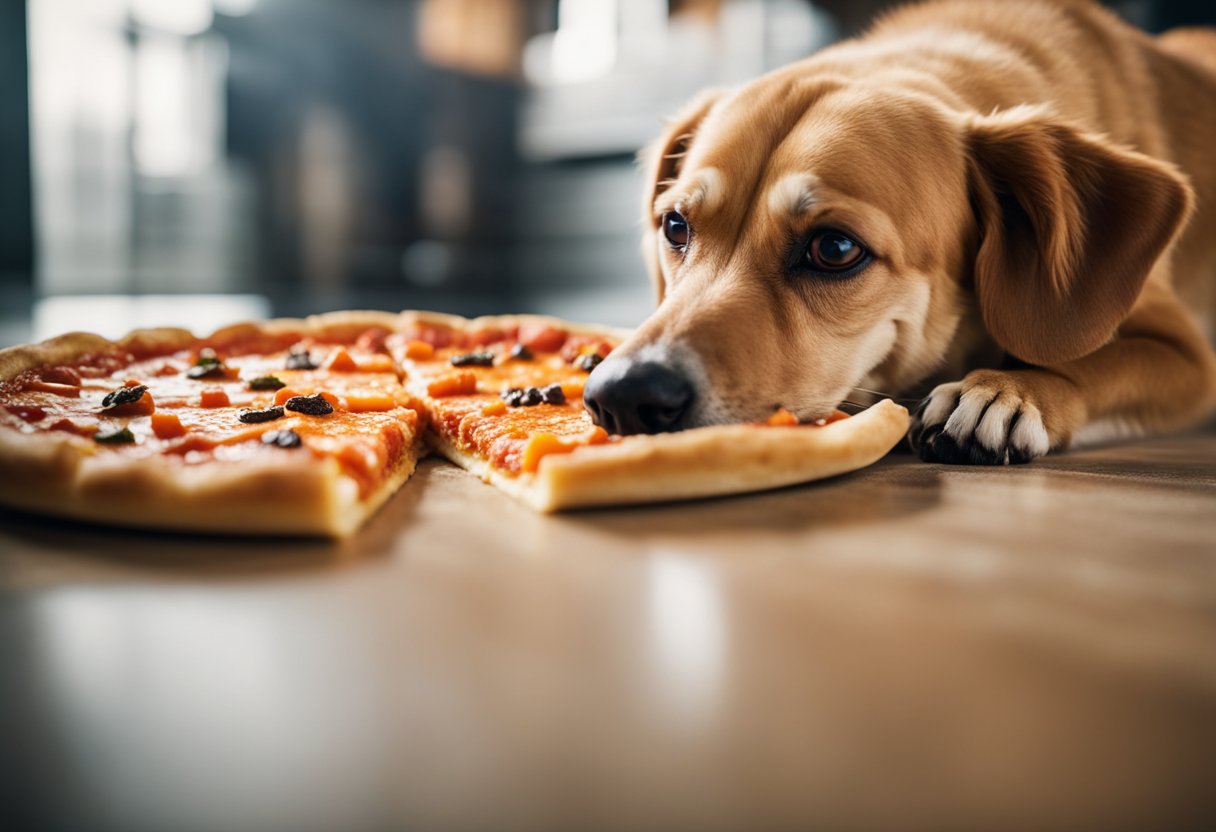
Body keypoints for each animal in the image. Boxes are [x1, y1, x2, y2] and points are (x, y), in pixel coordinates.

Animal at [581, 0, 1216, 464]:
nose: (622, 396)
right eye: (675, 226)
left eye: (835, 248)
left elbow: (1091, 362)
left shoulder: (1192, 359)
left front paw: (1006, 391)